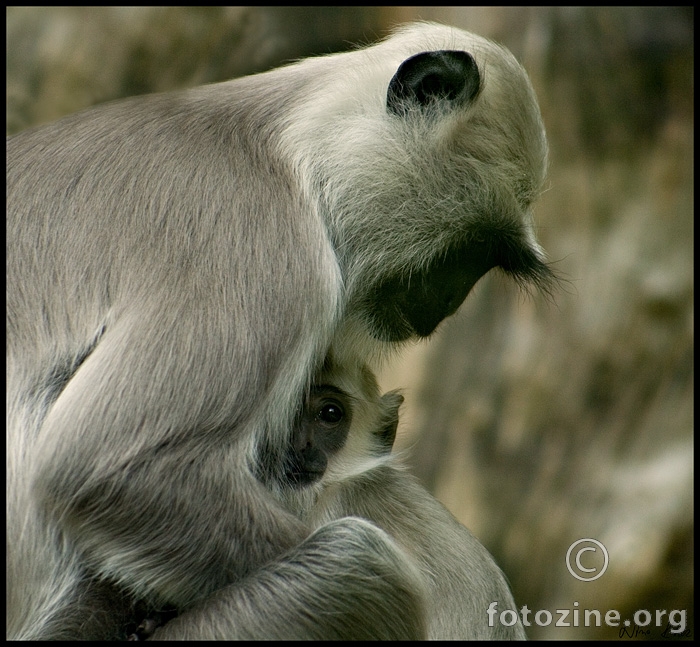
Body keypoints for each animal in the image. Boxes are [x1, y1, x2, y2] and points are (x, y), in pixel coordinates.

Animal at [5, 22, 556, 640]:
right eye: (473, 249)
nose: (449, 301)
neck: (281, 141)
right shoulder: (270, 243)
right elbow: (105, 467)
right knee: (368, 563)